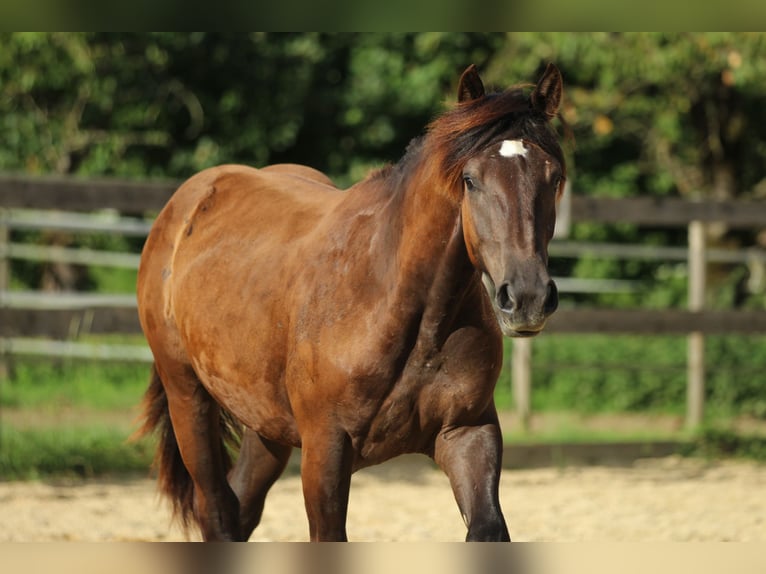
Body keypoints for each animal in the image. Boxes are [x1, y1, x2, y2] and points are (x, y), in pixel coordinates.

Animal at [136, 64, 568, 544]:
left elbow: (488, 528)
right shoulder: (325, 450)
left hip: (265, 424)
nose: (527, 296)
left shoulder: (468, 435)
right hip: (188, 397)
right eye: (470, 180)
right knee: (216, 509)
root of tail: (187, 202)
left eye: (554, 177)